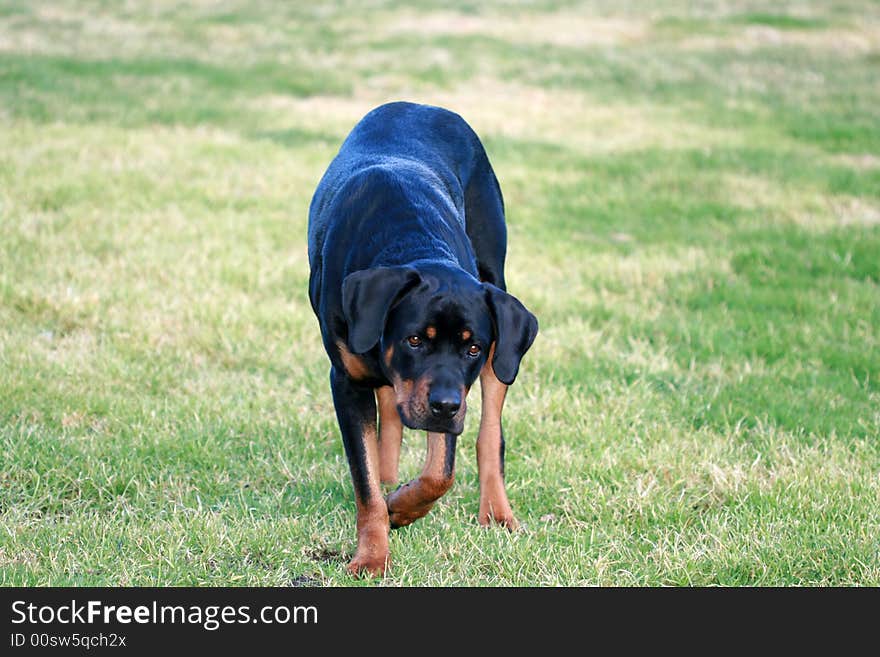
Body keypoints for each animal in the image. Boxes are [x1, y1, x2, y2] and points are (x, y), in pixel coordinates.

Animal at [310, 101, 544, 576]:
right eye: (415, 340)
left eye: (472, 347)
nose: (446, 406)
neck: (411, 243)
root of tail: (422, 105)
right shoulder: (346, 380)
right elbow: (365, 479)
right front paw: (372, 554)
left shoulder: (458, 385)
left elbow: (440, 473)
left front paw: (402, 508)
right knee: (388, 414)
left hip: (499, 306)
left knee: (490, 433)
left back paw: (497, 512)